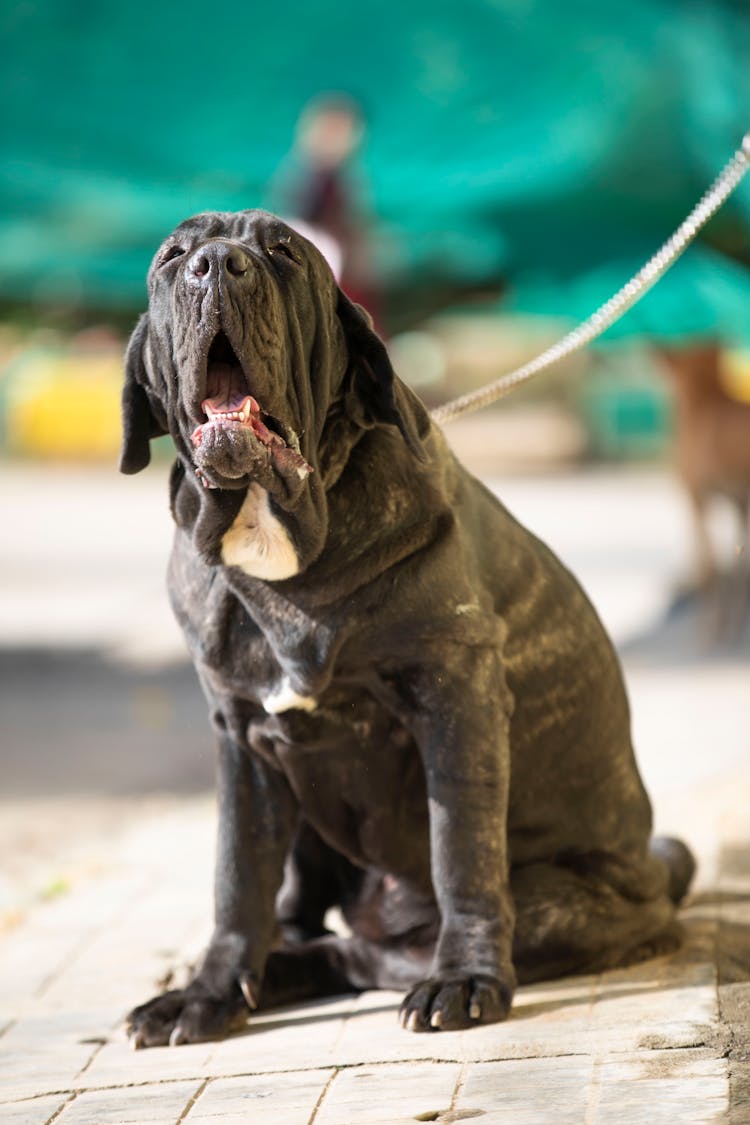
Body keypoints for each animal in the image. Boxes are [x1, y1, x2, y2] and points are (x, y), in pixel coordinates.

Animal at [122, 209, 692, 1044]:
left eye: (282, 250)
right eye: (172, 256)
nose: (218, 265)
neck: (275, 532)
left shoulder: (456, 698)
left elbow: (462, 850)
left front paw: (467, 977)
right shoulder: (242, 737)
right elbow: (237, 878)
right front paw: (209, 992)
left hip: (570, 898)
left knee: (397, 942)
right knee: (315, 926)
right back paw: (251, 974)